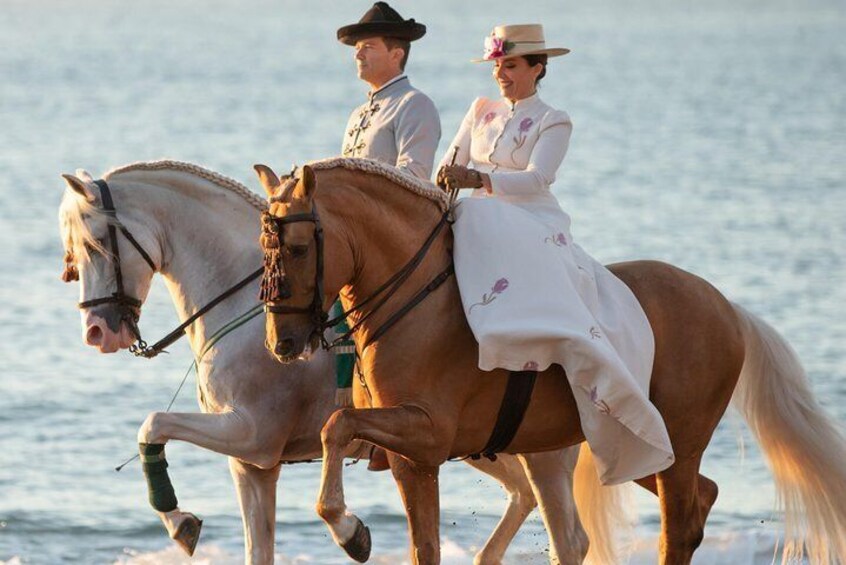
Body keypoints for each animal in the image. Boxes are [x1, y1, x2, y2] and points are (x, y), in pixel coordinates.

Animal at [59, 160, 628, 564]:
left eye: (96, 244)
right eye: (72, 253)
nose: (97, 332)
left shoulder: (252, 434)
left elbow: (154, 422)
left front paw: (181, 522)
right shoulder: (253, 465)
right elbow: (256, 549)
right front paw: (182, 522)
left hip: (540, 451)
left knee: (567, 537)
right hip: (477, 443)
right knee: (523, 499)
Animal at [255, 159, 846, 564]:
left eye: (300, 249)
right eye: (264, 252)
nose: (282, 344)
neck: (418, 298)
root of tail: (725, 306)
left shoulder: (427, 433)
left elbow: (335, 424)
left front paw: (347, 530)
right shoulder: (411, 458)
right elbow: (424, 544)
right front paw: (353, 529)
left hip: (673, 447)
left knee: (677, 528)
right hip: (643, 451)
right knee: (703, 498)